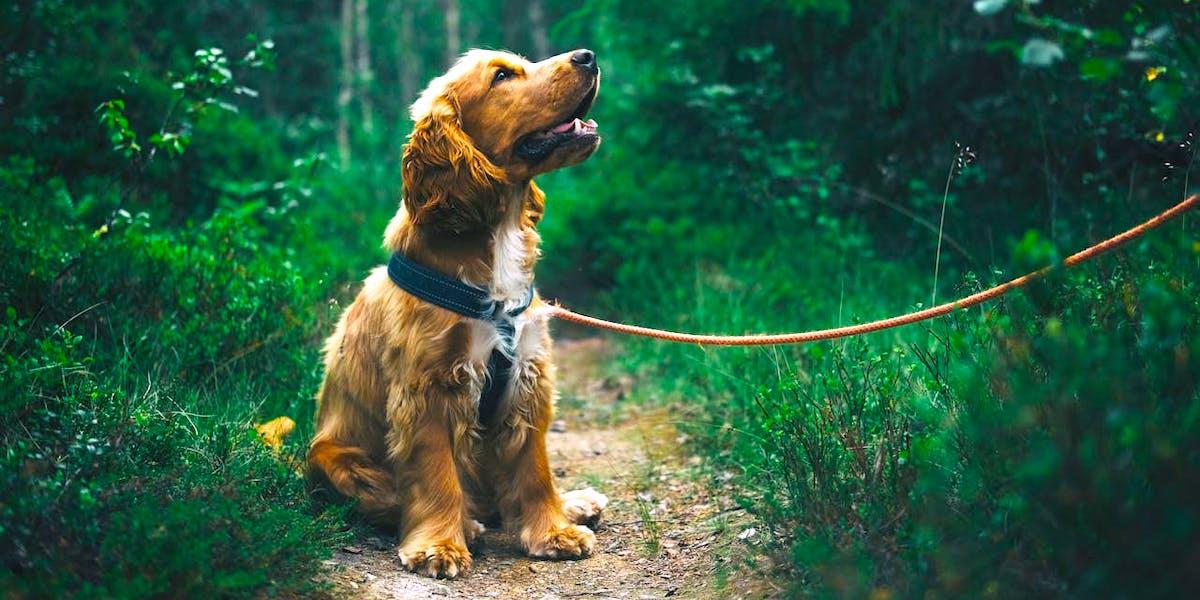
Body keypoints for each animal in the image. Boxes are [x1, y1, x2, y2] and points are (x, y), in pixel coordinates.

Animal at [309, 49, 609, 578]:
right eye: (502, 76)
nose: (588, 56)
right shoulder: (428, 387)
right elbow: (435, 474)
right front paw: (439, 546)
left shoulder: (527, 376)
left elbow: (534, 468)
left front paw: (553, 531)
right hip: (333, 457)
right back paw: (467, 523)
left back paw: (574, 503)